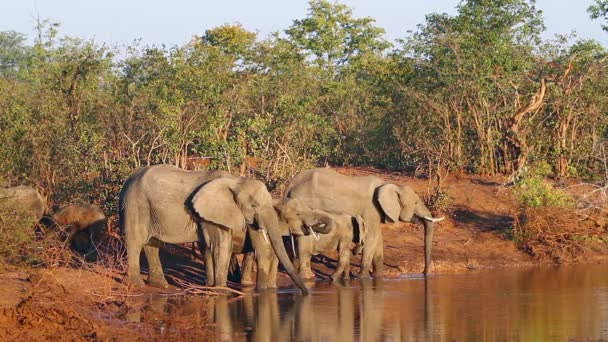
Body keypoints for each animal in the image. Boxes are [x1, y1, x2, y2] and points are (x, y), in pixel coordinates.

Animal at [119, 164, 308, 296]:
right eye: (254, 205)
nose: (306, 293)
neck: (236, 181)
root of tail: (127, 180)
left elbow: (210, 246)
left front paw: (210, 286)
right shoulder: (214, 212)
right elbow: (221, 245)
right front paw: (221, 290)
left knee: (152, 244)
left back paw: (160, 285)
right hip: (136, 204)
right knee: (136, 241)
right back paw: (137, 285)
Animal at [288, 168, 444, 278]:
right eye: (416, 202)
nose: (424, 273)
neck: (389, 185)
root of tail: (289, 186)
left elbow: (378, 239)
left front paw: (378, 276)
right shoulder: (370, 209)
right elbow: (372, 237)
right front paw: (362, 277)